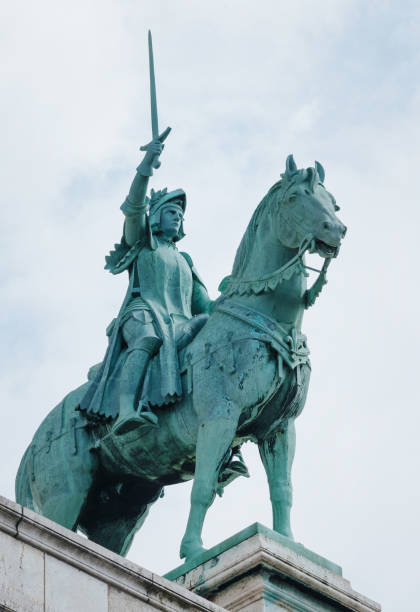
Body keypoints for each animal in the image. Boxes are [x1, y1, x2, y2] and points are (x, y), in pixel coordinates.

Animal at [15, 157, 344, 564]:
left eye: (333, 202)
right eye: (297, 196)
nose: (337, 231)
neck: (269, 320)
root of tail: (34, 442)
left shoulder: (279, 428)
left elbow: (282, 487)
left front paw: (289, 542)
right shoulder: (220, 416)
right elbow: (201, 488)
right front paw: (194, 551)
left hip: (121, 513)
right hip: (64, 495)